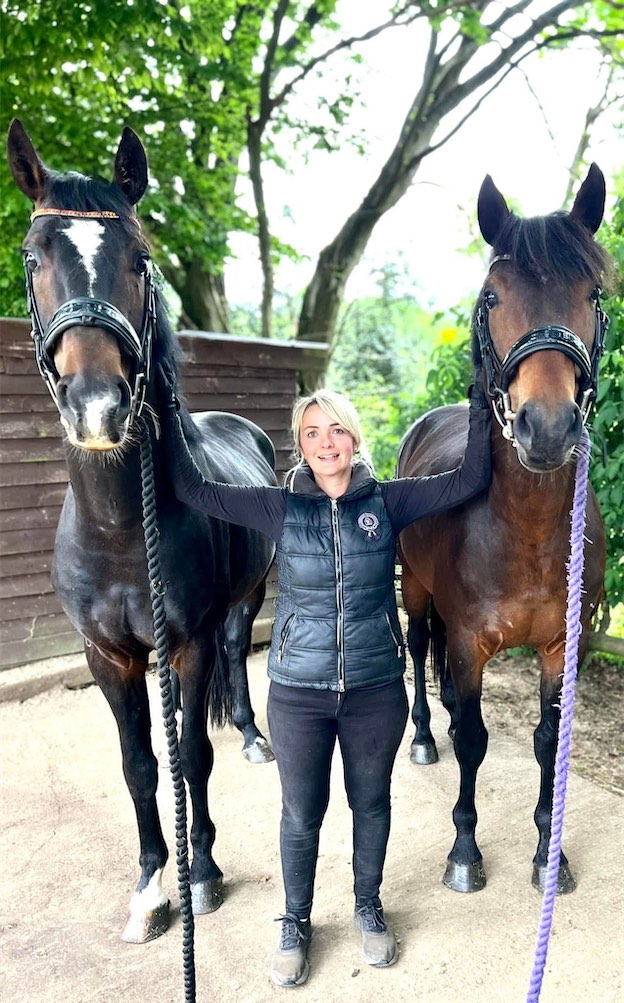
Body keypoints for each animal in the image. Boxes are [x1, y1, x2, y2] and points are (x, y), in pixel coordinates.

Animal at [7, 119, 277, 943]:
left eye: (140, 257)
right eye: (33, 257)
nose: (98, 405)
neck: (122, 528)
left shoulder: (185, 643)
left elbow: (190, 753)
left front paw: (204, 870)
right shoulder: (108, 657)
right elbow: (139, 765)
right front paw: (153, 881)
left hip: (244, 600)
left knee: (235, 655)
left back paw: (252, 738)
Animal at [397, 164, 615, 896]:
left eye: (594, 293)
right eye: (492, 295)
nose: (545, 428)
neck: (524, 531)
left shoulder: (562, 646)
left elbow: (551, 742)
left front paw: (552, 849)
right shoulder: (468, 642)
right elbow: (473, 739)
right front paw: (465, 852)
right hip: (414, 594)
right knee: (418, 652)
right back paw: (422, 735)